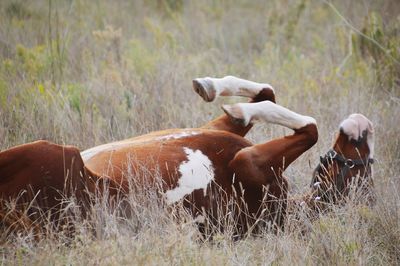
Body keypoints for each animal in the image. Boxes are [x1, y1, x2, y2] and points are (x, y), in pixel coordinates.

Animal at [0, 76, 318, 235]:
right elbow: (268, 94)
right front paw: (208, 86)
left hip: (44, 153)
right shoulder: (219, 131)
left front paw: (236, 105)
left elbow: (309, 128)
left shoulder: (247, 163)